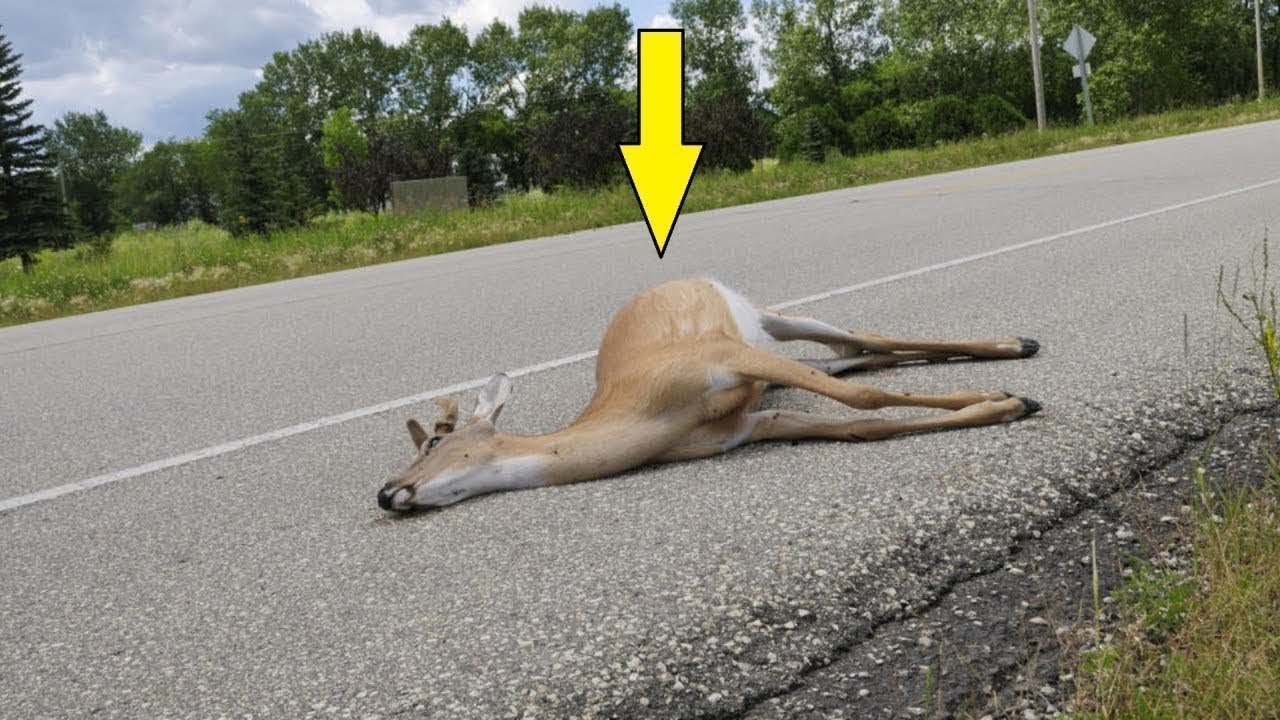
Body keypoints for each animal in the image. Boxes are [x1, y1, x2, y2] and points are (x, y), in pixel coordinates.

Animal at [377, 278, 1041, 512]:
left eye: (434, 441)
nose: (387, 492)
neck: (652, 416)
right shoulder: (746, 424)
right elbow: (861, 424)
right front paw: (1003, 402)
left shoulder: (725, 356)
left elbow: (867, 402)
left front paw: (1008, 399)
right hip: (775, 354)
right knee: (852, 355)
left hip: (769, 323)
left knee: (863, 339)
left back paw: (1018, 344)